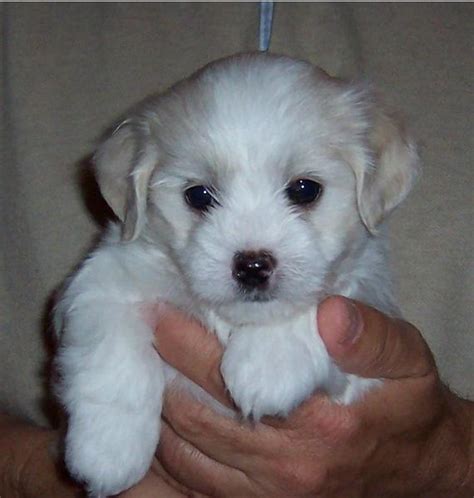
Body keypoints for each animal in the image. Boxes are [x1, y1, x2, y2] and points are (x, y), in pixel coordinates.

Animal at [53, 52, 420, 496]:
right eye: (198, 196)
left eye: (305, 189)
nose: (253, 265)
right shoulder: (109, 278)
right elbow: (112, 357)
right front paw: (107, 450)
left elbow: (323, 296)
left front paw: (270, 362)